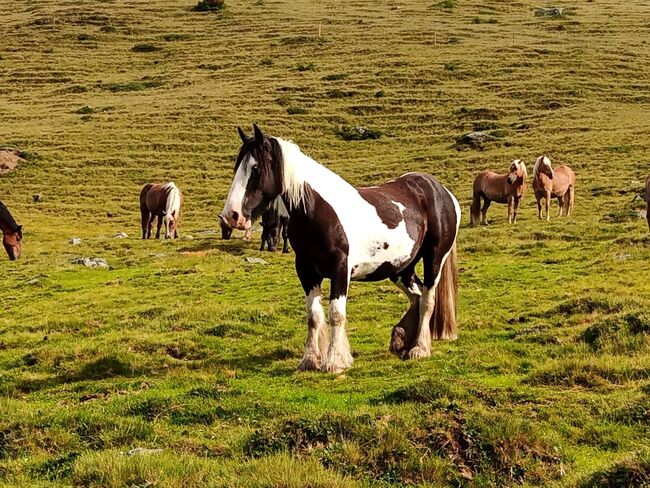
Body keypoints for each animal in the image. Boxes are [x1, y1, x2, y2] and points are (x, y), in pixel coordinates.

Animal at [220, 126, 458, 374]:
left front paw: (335, 361)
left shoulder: (340, 270)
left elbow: (336, 314)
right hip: (401, 268)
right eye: (237, 167)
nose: (232, 215)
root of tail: (442, 191)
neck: (318, 211)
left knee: (428, 300)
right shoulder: (306, 272)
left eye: (255, 168)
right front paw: (310, 360)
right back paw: (400, 341)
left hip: (433, 260)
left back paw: (419, 349)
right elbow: (313, 316)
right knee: (417, 296)